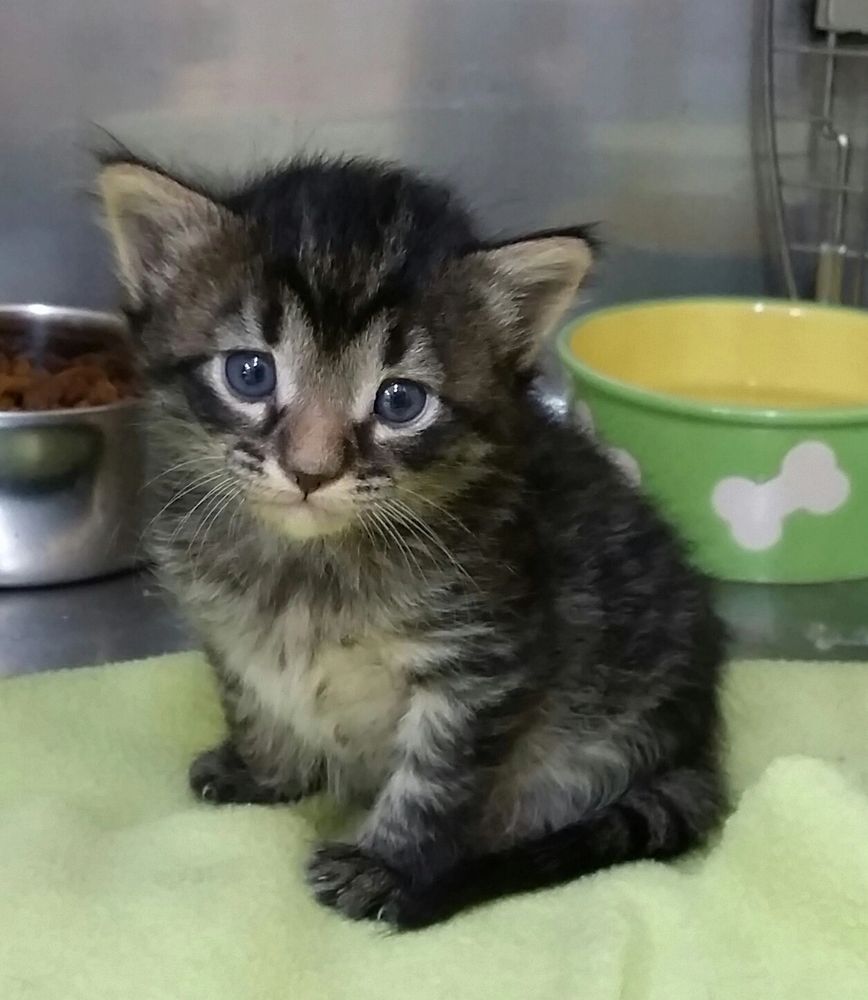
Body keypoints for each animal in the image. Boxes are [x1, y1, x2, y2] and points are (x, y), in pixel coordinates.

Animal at [96, 152, 724, 924]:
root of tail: (698, 742)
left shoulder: (483, 661)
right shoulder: (230, 631)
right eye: (250, 373)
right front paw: (264, 771)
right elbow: (253, 700)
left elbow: (435, 779)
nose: (311, 471)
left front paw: (387, 865)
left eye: (400, 401)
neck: (310, 567)